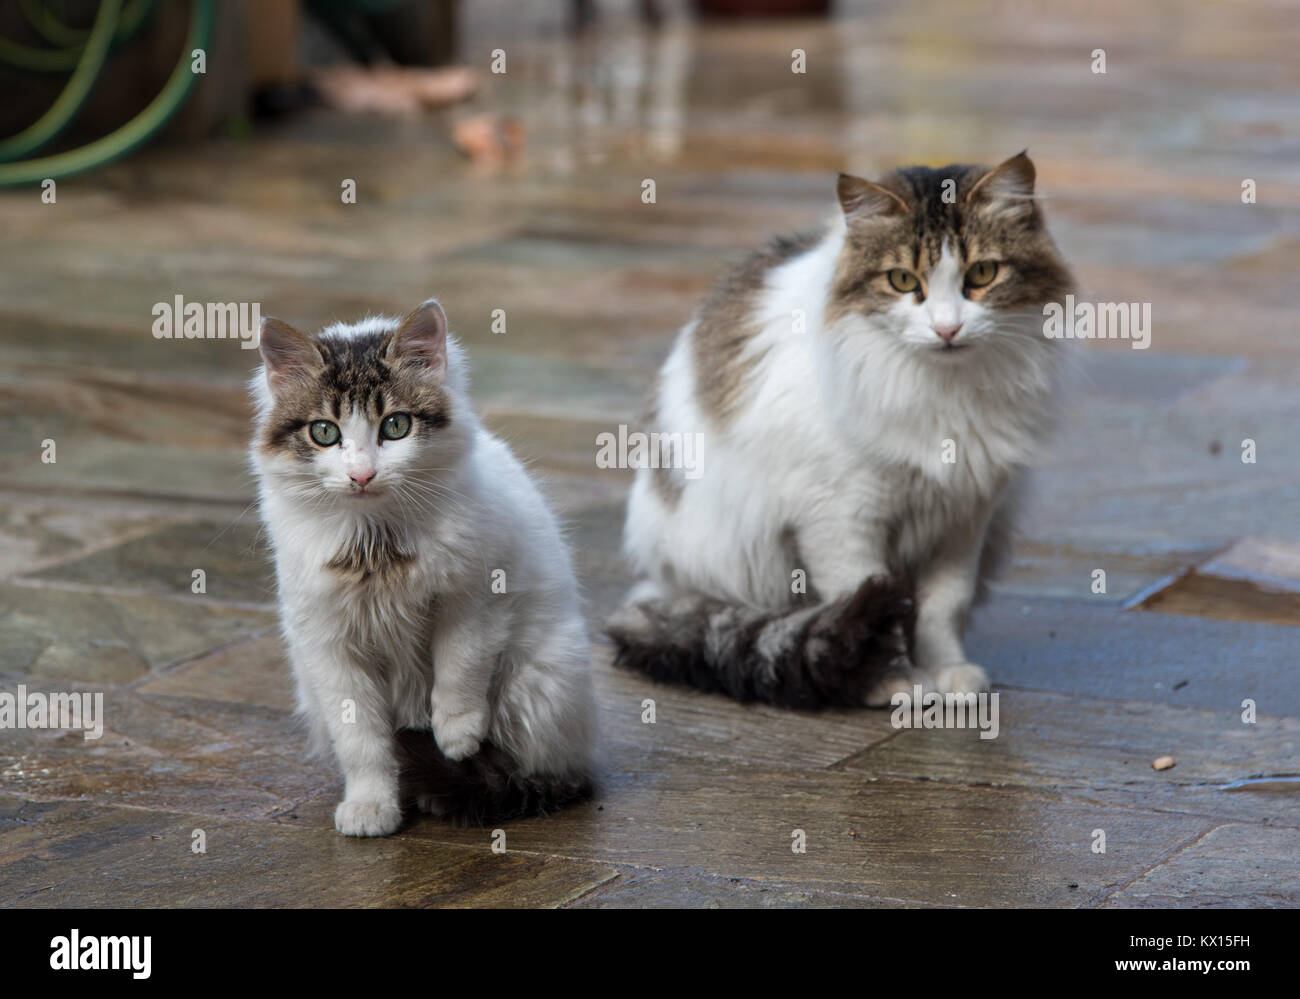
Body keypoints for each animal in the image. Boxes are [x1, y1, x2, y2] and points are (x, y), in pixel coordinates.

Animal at [250, 299, 595, 832]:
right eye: (324, 432)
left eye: (395, 426)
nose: (362, 475)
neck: (376, 541)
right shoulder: (329, 644)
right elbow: (363, 742)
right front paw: (371, 807)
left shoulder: (474, 596)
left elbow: (459, 668)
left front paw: (456, 736)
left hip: (541, 683)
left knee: (540, 769)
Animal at [608, 152, 1076, 707]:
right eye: (902, 280)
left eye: (982, 273)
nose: (946, 329)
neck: (942, 388)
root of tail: (654, 584)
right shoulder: (840, 518)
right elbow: (872, 609)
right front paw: (893, 679)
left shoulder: (965, 518)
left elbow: (943, 608)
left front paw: (947, 673)